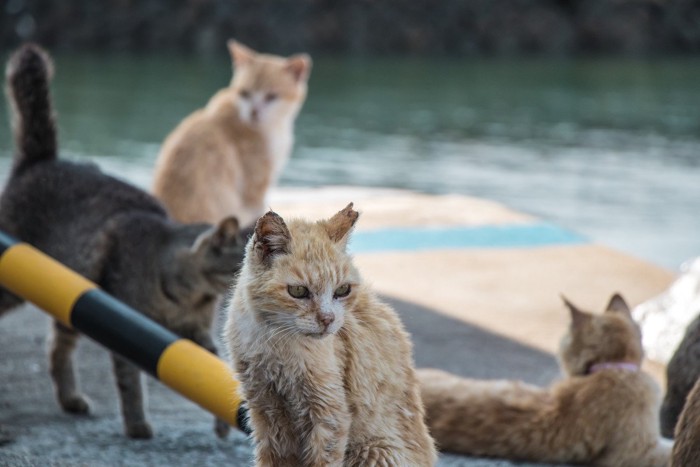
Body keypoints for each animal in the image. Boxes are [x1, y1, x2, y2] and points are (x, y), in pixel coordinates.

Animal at [0, 43, 246, 438]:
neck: (189, 294)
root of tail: (41, 161)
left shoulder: (196, 335)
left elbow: (219, 374)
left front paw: (223, 425)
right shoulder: (129, 328)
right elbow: (130, 383)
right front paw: (137, 425)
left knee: (57, 348)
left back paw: (71, 399)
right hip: (17, 283)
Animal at [224, 205, 434, 467]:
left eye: (342, 290)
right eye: (298, 291)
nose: (328, 319)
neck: (272, 339)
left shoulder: (329, 414)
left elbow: (323, 460)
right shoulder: (265, 408)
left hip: (374, 451)